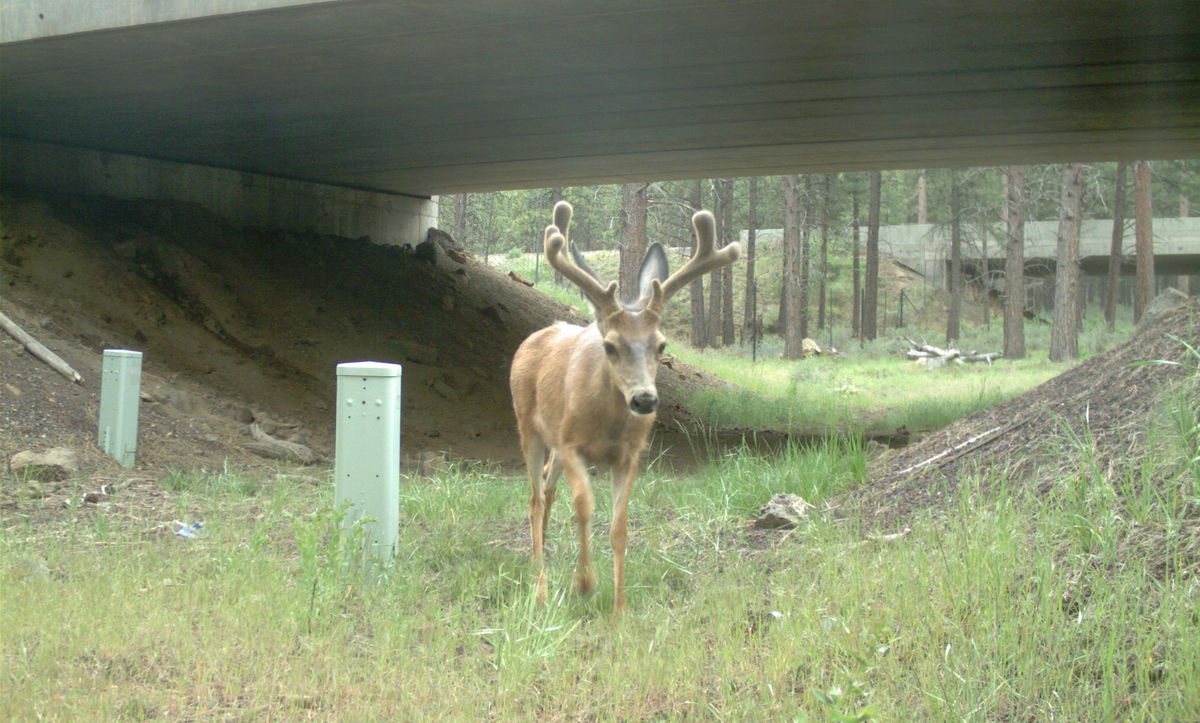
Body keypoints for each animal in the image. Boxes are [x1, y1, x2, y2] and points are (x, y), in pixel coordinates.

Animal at [508, 199, 739, 610]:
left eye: (661, 344)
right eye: (610, 345)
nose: (645, 399)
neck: (609, 426)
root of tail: (538, 334)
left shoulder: (630, 454)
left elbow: (620, 526)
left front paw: (619, 608)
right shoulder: (572, 444)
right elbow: (584, 506)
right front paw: (585, 583)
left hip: (553, 441)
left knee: (547, 489)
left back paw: (545, 553)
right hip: (527, 424)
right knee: (535, 496)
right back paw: (540, 583)